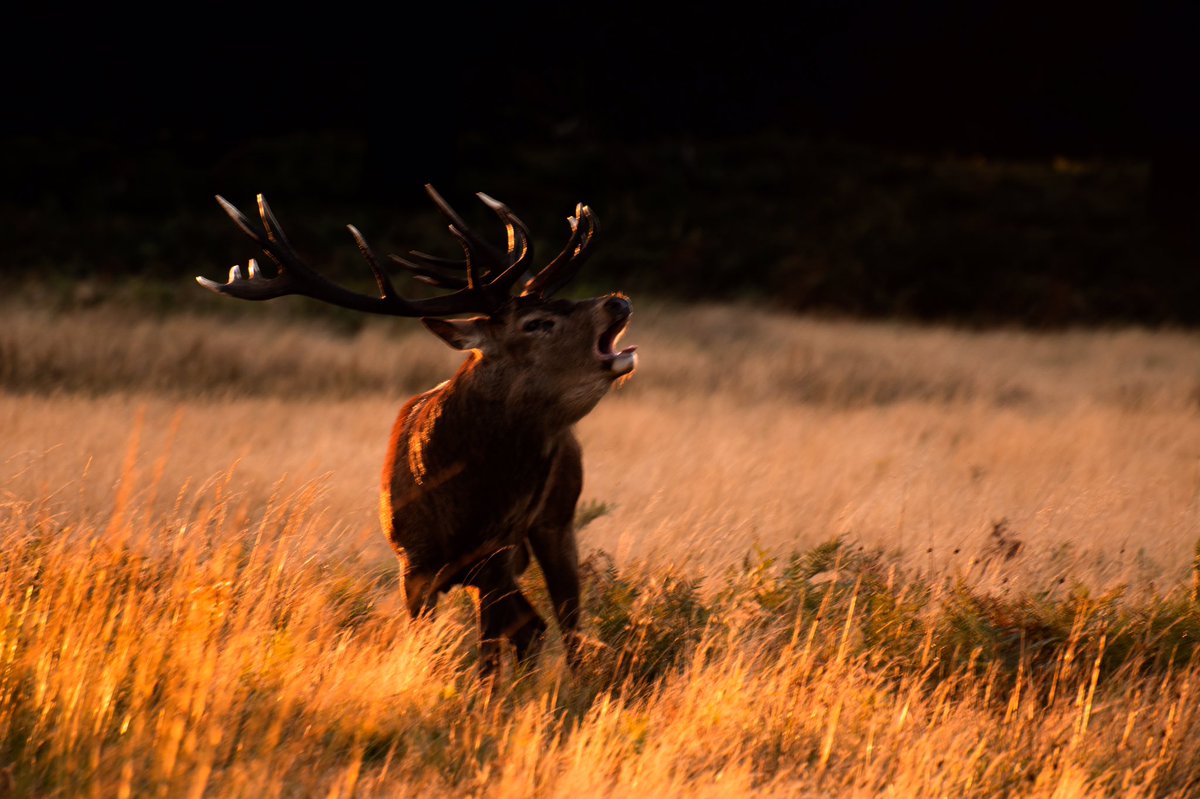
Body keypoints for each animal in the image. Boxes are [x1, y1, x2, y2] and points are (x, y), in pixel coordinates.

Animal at [197, 185, 637, 676]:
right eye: (537, 322)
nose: (617, 301)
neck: (460, 507)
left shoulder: (495, 560)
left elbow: (488, 660)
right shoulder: (414, 566)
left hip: (557, 519)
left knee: (566, 625)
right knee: (535, 626)